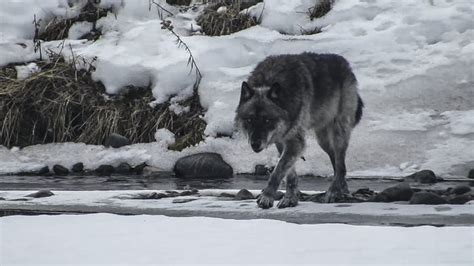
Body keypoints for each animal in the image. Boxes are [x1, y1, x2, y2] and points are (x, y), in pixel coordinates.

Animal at [234, 52, 362, 208]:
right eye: (249, 120)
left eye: (267, 120)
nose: (255, 144)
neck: (270, 79)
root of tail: (346, 64)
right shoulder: (282, 141)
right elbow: (290, 174)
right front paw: (290, 198)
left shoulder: (295, 141)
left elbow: (277, 171)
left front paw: (267, 196)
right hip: (323, 140)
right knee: (338, 166)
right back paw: (343, 190)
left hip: (337, 134)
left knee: (340, 164)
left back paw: (333, 192)